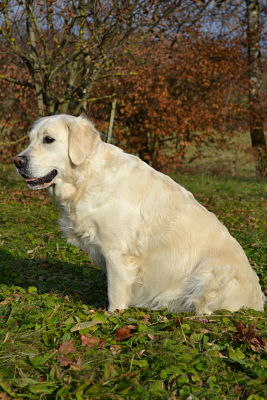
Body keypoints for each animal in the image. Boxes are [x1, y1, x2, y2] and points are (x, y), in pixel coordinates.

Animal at [14, 114, 266, 314]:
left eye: (48, 139)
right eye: (30, 139)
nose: (17, 161)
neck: (87, 178)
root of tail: (258, 302)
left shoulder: (117, 251)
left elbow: (116, 290)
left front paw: (112, 314)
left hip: (212, 274)